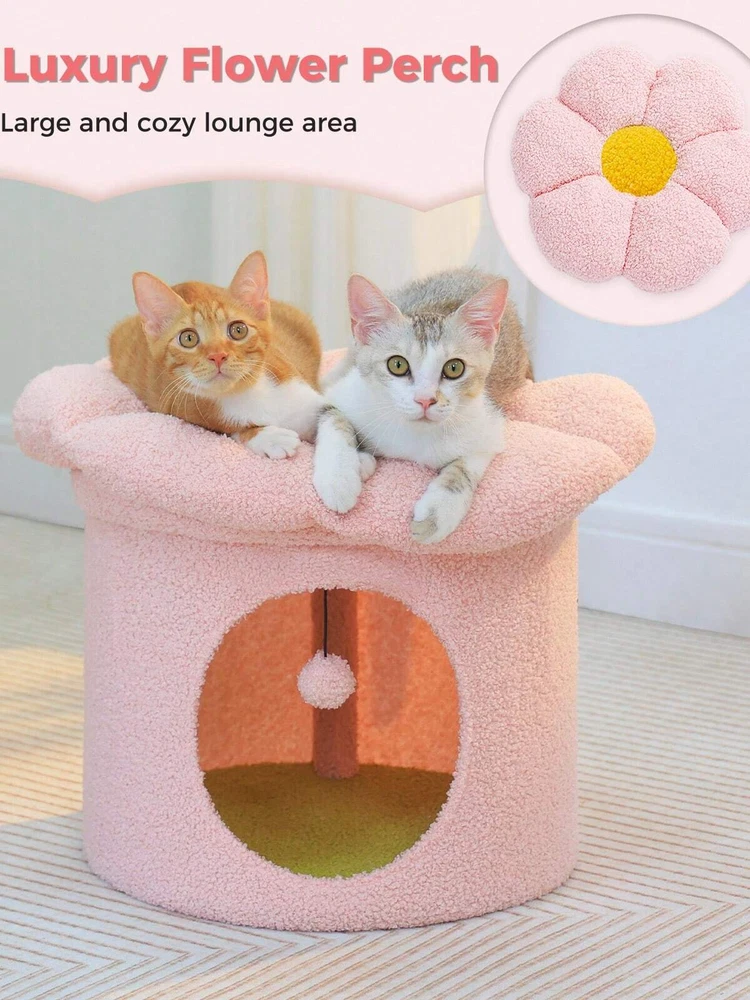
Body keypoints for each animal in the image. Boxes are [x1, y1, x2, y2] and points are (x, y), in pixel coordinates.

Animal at [109, 251, 323, 458]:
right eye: (188, 338)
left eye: (238, 330)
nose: (218, 355)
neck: (248, 394)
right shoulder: (184, 407)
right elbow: (230, 430)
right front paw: (268, 437)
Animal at [313, 267, 531, 543]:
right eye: (397, 364)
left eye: (454, 367)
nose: (425, 399)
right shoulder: (342, 394)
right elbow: (333, 417)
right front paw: (339, 478)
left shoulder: (488, 428)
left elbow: (465, 468)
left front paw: (438, 513)